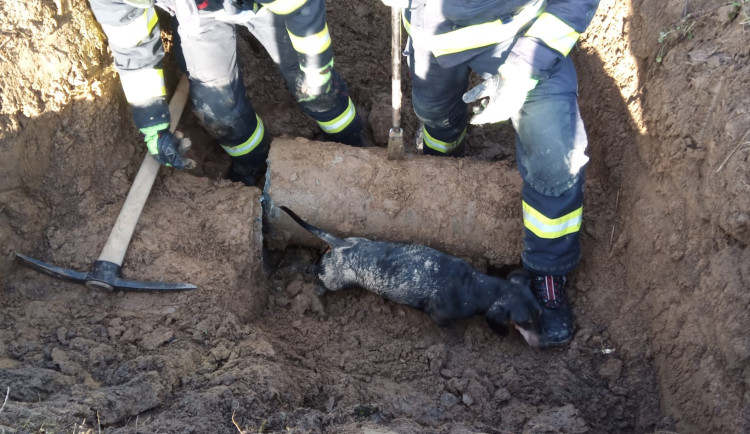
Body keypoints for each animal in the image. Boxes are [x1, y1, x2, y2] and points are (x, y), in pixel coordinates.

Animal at [282, 206, 548, 346]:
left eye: (540, 314)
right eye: (525, 322)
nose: (543, 343)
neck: (472, 285)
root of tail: (341, 243)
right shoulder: (438, 315)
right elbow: (448, 329)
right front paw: (456, 339)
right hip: (335, 279)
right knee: (317, 272)